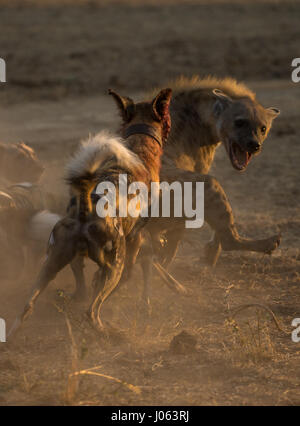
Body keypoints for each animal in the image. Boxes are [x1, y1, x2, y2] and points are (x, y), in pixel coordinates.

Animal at [9, 88, 172, 334]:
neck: (139, 148)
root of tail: (86, 209)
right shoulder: (134, 242)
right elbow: (128, 276)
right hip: (114, 266)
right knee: (92, 311)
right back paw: (106, 330)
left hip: (51, 264)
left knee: (30, 305)